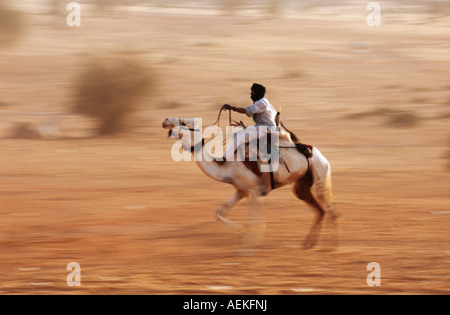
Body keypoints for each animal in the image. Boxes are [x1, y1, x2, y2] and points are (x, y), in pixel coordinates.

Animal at [162, 117, 338, 251]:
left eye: (184, 122)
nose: (166, 122)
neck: (227, 166)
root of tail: (319, 155)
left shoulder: (255, 190)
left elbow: (255, 220)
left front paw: (248, 246)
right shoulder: (241, 191)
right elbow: (220, 212)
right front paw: (242, 236)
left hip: (321, 174)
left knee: (330, 210)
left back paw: (332, 246)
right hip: (302, 185)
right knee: (320, 210)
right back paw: (309, 244)